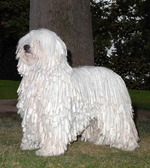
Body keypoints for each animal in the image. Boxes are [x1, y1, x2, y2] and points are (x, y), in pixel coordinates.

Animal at [15, 28, 139, 156]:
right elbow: (31, 129)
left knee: (123, 128)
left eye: (38, 41)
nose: (26, 46)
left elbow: (53, 132)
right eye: (27, 40)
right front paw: (28, 145)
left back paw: (128, 145)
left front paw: (48, 151)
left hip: (114, 112)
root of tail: (117, 77)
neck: (41, 74)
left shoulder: (54, 113)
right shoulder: (32, 112)